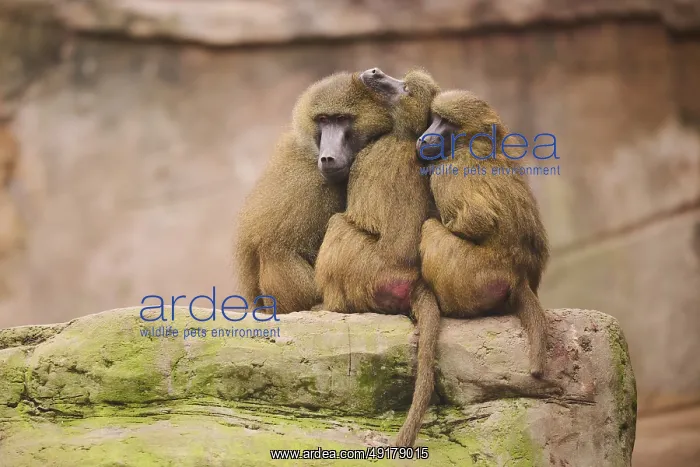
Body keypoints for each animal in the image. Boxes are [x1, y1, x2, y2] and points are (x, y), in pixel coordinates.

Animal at [313, 68, 441, 447]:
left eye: (403, 88)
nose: (374, 71)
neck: (402, 134)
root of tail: (410, 277)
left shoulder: (367, 159)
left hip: (366, 272)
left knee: (339, 226)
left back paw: (329, 306)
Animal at [416, 89, 551, 378]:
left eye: (447, 123)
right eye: (435, 118)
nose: (424, 137)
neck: (474, 141)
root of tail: (518, 274)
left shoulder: (447, 169)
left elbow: (476, 220)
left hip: (472, 274)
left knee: (430, 228)